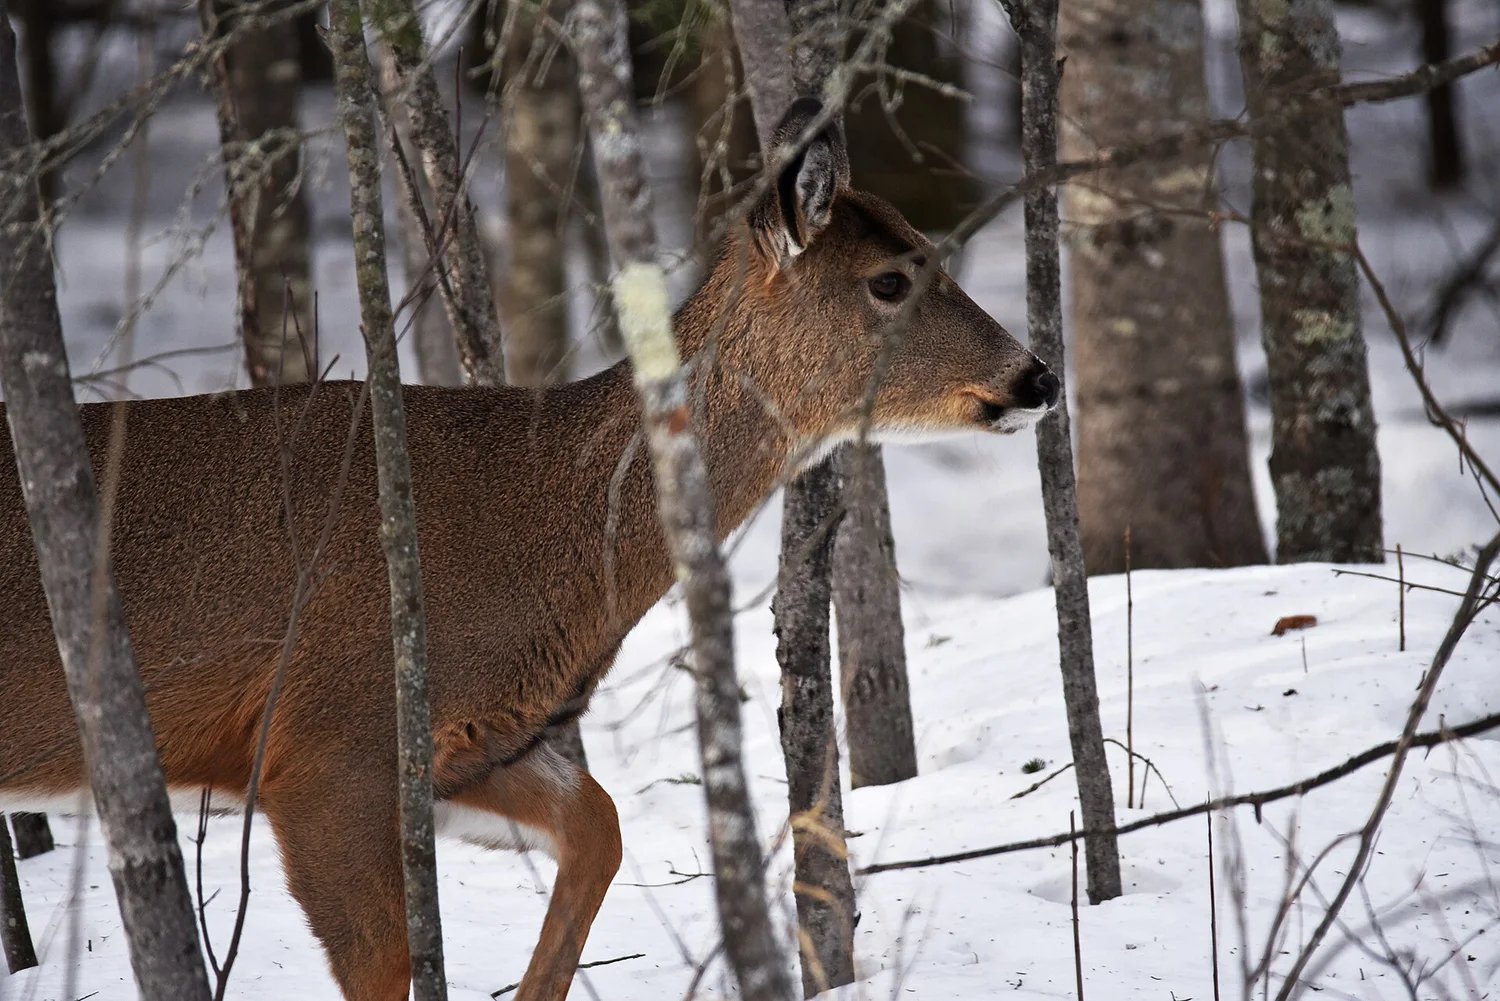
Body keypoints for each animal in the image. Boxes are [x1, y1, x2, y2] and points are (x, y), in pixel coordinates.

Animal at [0, 99, 1058, 1001]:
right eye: (890, 280)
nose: (1038, 377)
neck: (531, 524)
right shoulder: (324, 745)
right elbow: (389, 959)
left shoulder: (479, 741)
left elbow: (602, 826)